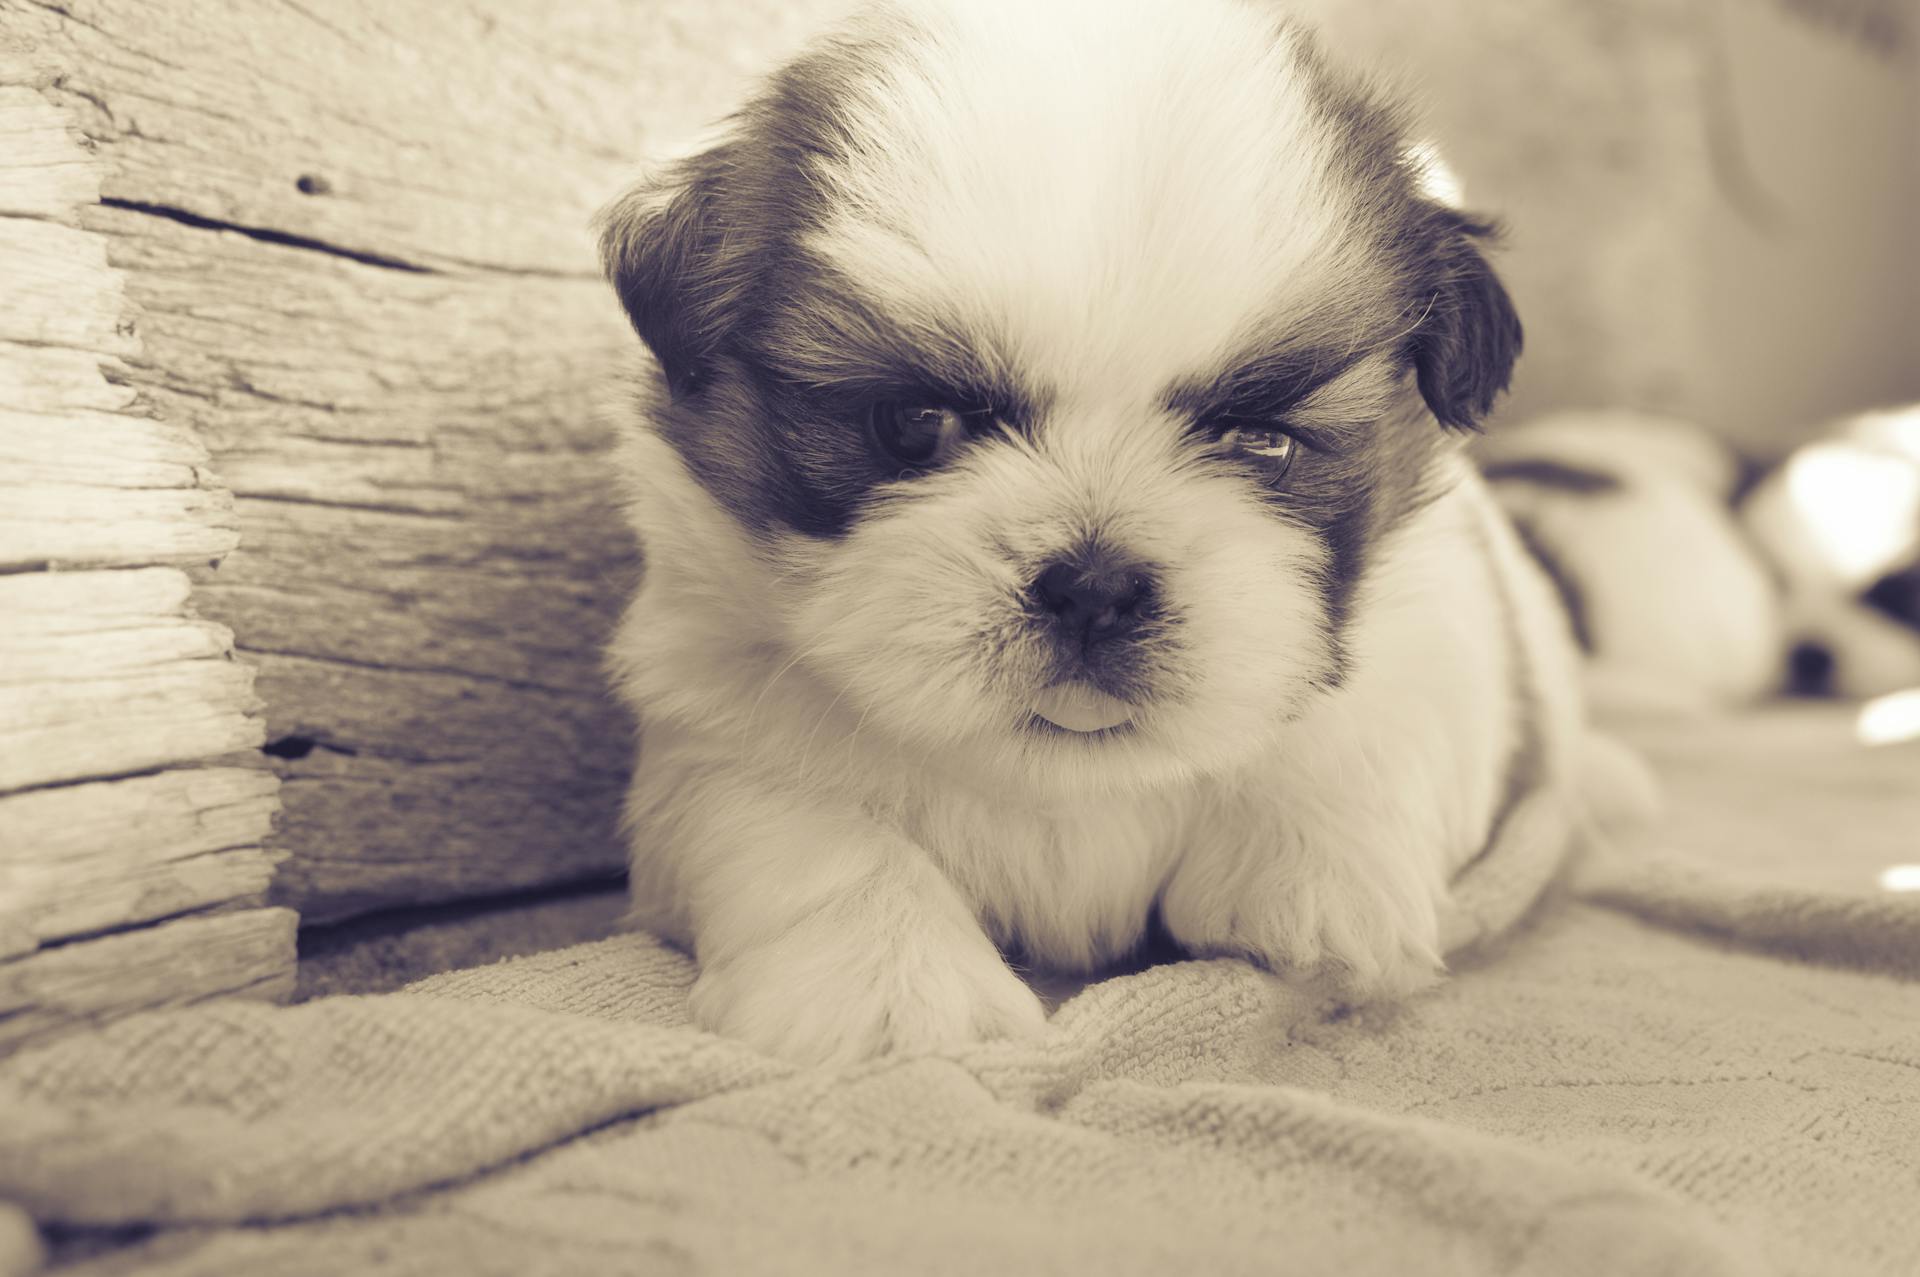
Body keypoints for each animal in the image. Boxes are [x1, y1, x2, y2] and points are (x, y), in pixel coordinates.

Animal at [599, 0, 1620, 1060]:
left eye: (1261, 438)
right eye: (915, 423)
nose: (1094, 586)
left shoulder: (1439, 626)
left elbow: (1364, 723)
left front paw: (1310, 876)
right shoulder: (716, 725)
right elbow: (804, 830)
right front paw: (884, 985)